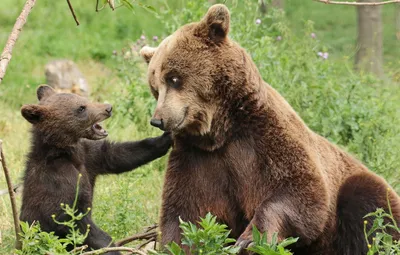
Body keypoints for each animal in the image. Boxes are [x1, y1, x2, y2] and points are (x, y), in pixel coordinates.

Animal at [139, 4, 398, 255]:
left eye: (173, 78)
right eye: (155, 87)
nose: (158, 120)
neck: (221, 131)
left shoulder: (266, 138)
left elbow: (300, 191)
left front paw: (251, 238)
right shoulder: (198, 159)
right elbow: (186, 212)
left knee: (372, 208)